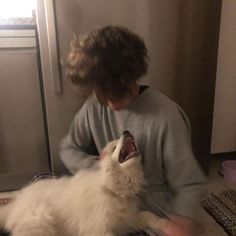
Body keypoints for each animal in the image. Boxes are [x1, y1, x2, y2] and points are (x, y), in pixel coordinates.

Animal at [0, 131, 163, 236]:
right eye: (114, 148)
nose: (126, 131)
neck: (111, 189)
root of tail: (16, 203)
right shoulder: (98, 229)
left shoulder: (127, 220)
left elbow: (149, 215)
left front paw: (163, 224)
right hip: (41, 224)